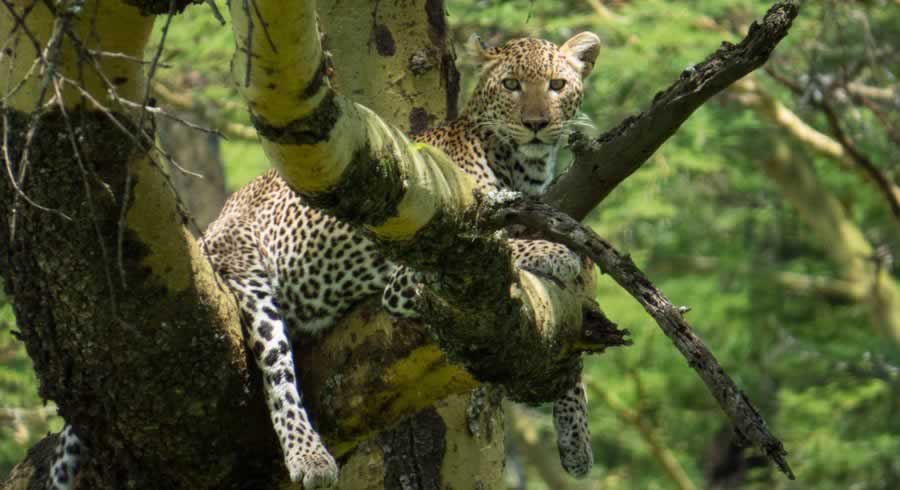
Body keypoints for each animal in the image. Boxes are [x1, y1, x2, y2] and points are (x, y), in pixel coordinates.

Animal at [47, 32, 596, 488]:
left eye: (556, 85)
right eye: (511, 85)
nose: (536, 125)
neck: (522, 169)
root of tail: (208, 232)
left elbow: (568, 338)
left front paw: (576, 439)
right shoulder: (414, 275)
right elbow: (515, 251)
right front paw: (555, 252)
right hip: (246, 277)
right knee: (279, 376)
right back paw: (309, 457)